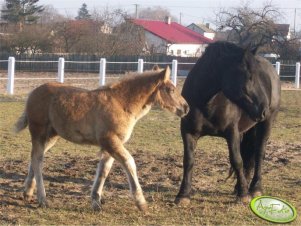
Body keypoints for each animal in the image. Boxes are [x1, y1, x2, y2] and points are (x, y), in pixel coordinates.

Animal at [175, 41, 280, 205]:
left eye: (258, 77)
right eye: (249, 76)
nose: (264, 109)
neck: (207, 103)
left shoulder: (232, 133)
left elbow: (237, 160)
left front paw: (243, 195)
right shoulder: (188, 132)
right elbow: (188, 160)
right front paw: (183, 195)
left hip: (266, 124)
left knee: (259, 154)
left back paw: (255, 188)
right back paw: (240, 186)